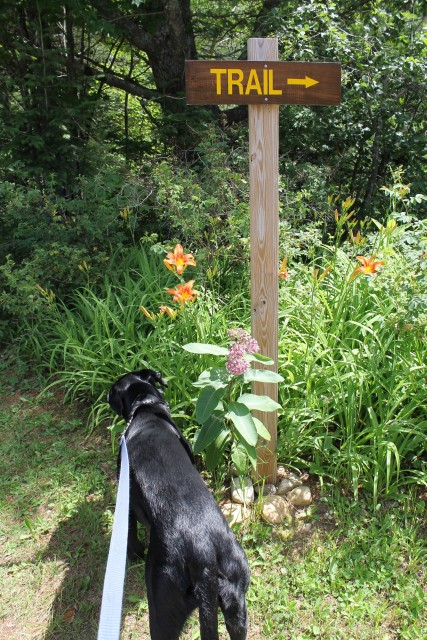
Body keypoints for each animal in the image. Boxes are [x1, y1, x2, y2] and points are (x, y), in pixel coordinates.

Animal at [106, 370, 251, 640]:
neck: (145, 410)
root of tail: (204, 553)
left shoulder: (127, 501)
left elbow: (130, 536)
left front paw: (133, 554)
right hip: (237, 604)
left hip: (161, 604)